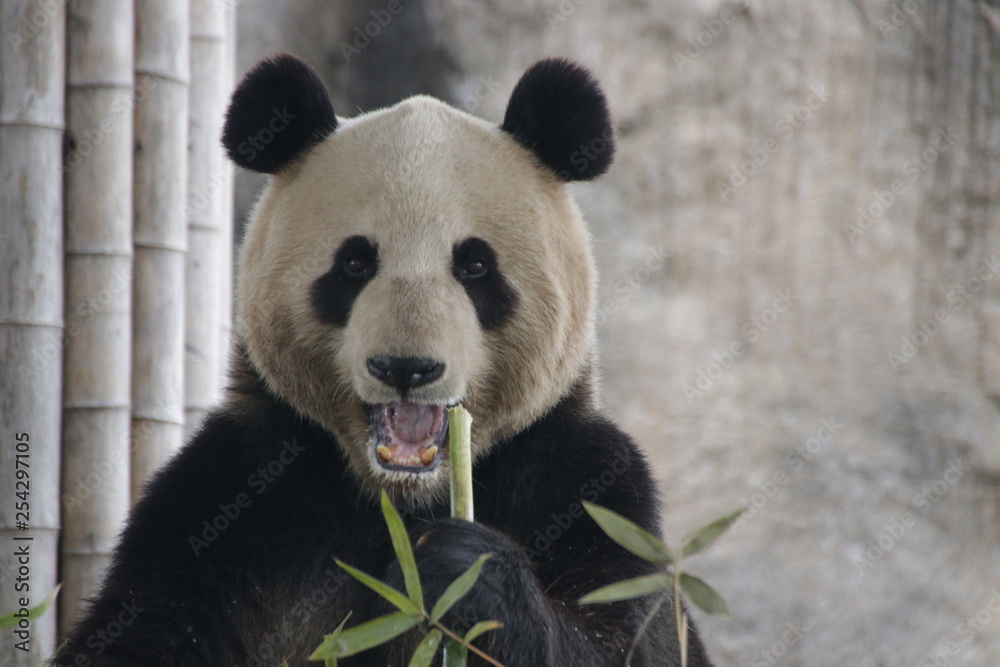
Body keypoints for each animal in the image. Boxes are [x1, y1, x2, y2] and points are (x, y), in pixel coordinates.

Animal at [54, 54, 713, 666]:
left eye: (476, 265)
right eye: (354, 263)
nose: (405, 367)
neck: (400, 499)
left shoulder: (589, 484)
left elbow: (630, 639)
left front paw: (462, 567)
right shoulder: (226, 498)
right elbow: (139, 630)